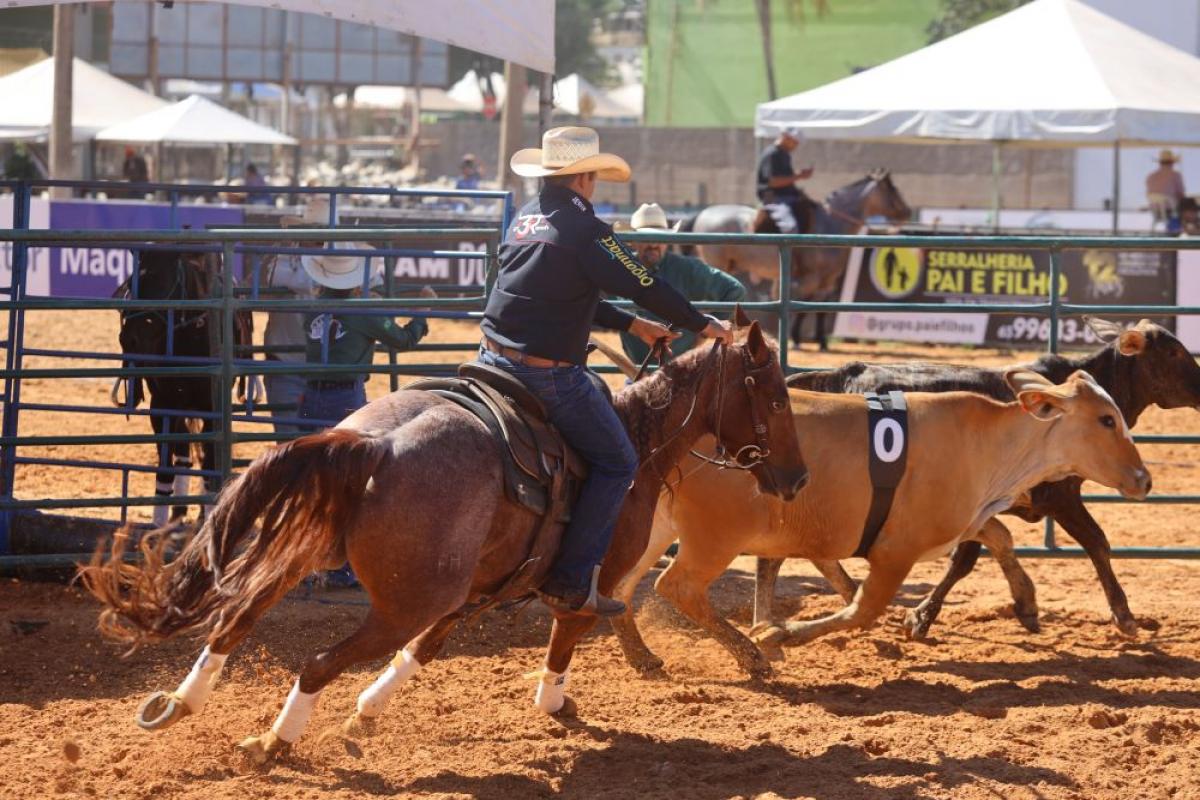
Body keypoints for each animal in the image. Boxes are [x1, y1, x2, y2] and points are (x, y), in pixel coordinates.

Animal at [82, 319, 806, 762]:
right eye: (773, 396)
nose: (797, 477)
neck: (639, 440)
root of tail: (372, 445)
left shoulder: (477, 587)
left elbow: (425, 651)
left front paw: (368, 711)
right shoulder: (586, 581)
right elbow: (567, 632)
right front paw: (554, 702)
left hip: (311, 555)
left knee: (234, 619)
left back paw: (180, 703)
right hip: (408, 596)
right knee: (316, 661)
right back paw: (272, 744)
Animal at [114, 248, 253, 525]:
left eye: (163, 282)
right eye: (132, 283)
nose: (129, 339)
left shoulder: (211, 408)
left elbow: (210, 465)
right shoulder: (162, 406)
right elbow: (166, 465)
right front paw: (159, 523)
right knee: (184, 456)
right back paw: (178, 512)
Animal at [614, 369, 1147, 676]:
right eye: (1106, 420)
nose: (1144, 478)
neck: (987, 445)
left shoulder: (964, 520)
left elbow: (998, 536)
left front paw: (1026, 602)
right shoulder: (895, 552)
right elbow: (862, 610)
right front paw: (780, 634)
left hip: (651, 523)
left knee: (619, 585)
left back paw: (643, 657)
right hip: (714, 536)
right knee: (675, 586)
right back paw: (751, 655)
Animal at [681, 172, 912, 350]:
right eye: (892, 189)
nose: (907, 212)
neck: (829, 225)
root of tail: (702, 213)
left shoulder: (827, 282)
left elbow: (820, 308)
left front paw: (821, 341)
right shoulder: (810, 279)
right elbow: (803, 307)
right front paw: (797, 339)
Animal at [758, 316, 1200, 638]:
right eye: (1175, 351)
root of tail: (839, 374)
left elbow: (983, 549)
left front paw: (1024, 605)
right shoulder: (1060, 496)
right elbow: (1095, 543)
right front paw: (1123, 615)